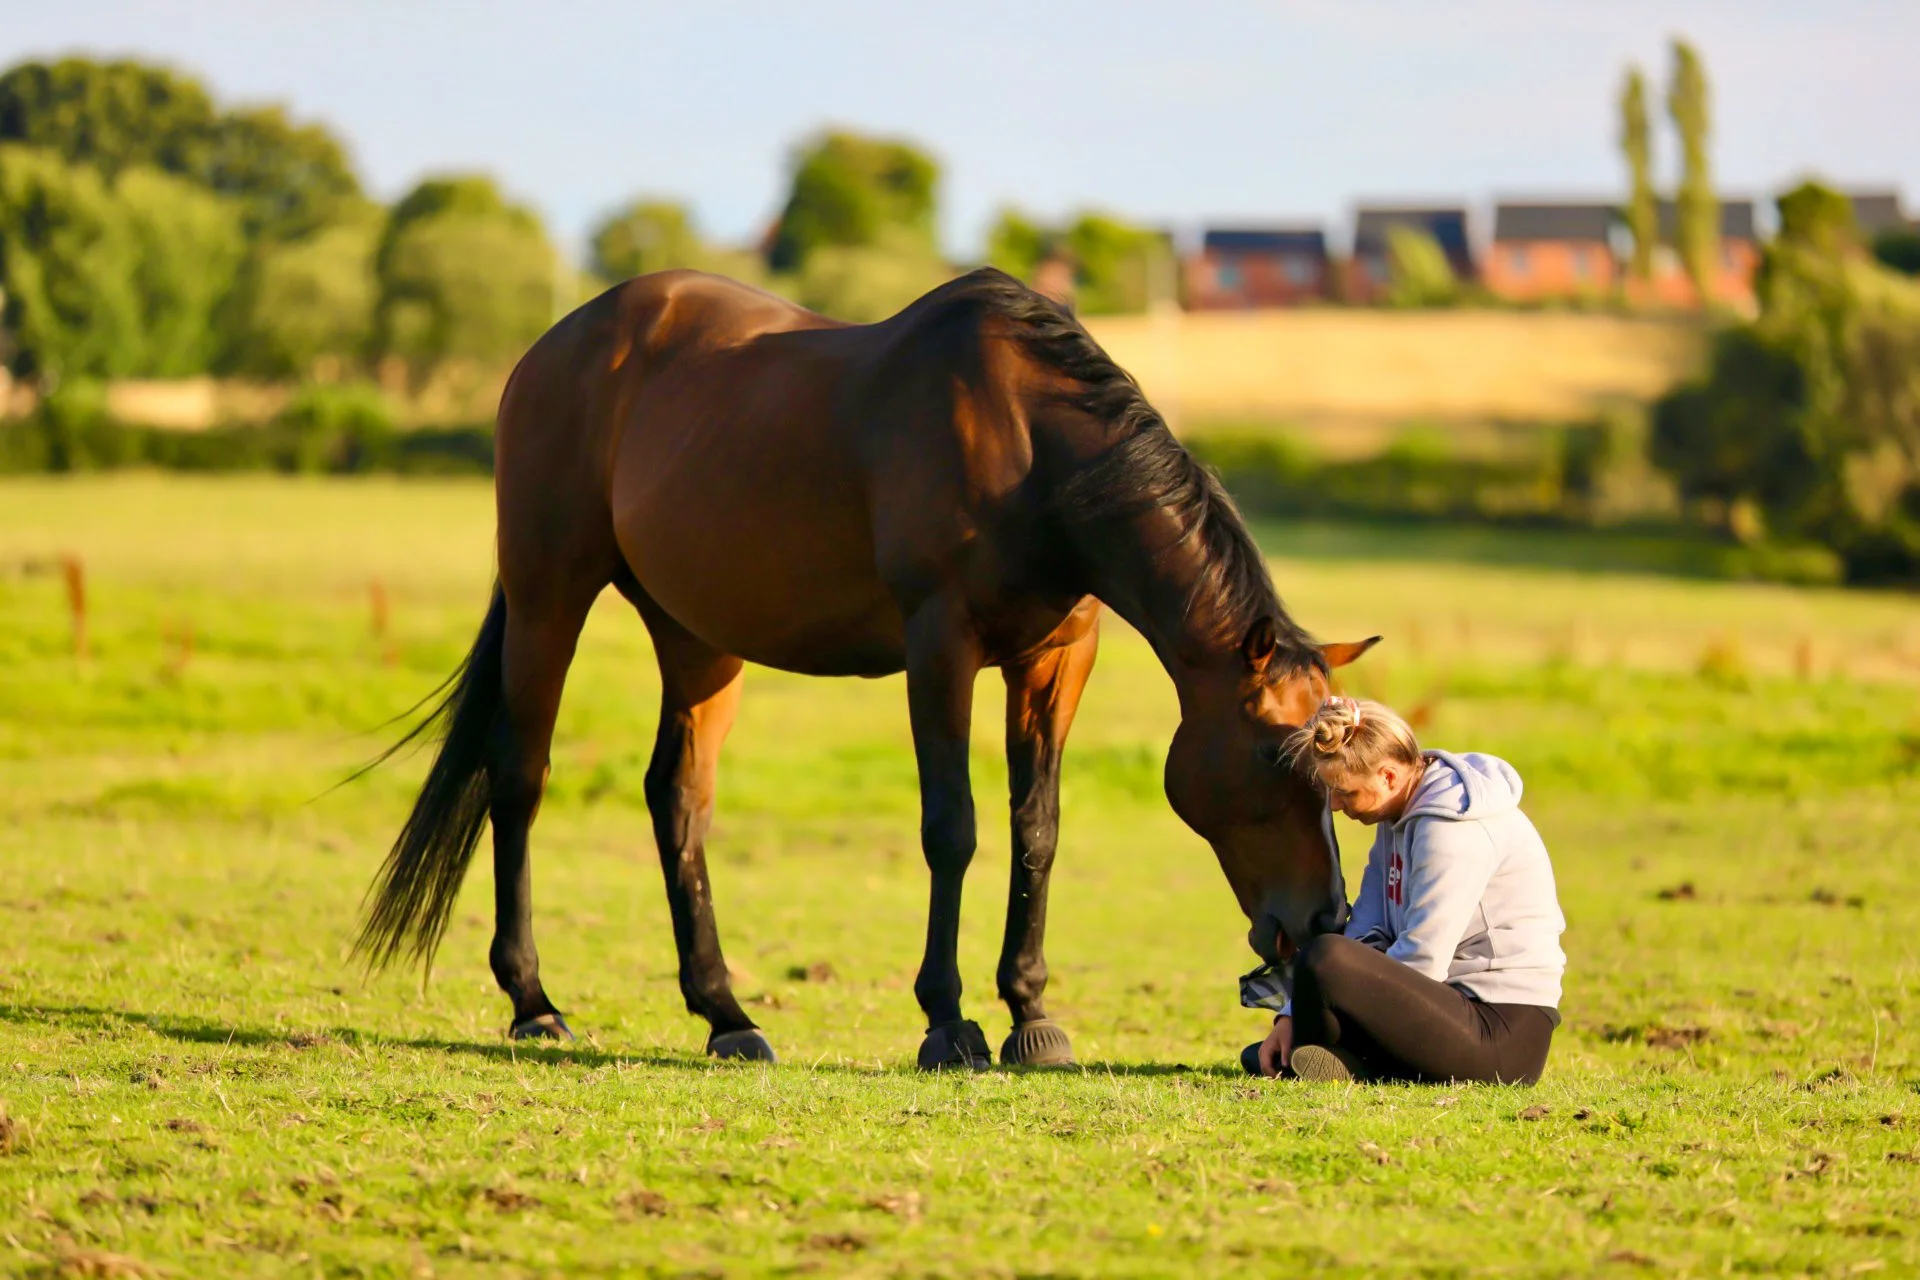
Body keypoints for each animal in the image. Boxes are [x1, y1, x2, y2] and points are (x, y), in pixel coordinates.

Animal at [357, 266, 1376, 1070]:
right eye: (1278, 760)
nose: (1328, 919)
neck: (1033, 450)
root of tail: (555, 346)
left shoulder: (1054, 662)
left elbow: (1036, 830)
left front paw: (1032, 1014)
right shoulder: (941, 645)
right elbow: (953, 829)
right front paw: (948, 1023)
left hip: (696, 637)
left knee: (676, 799)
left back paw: (726, 1016)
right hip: (548, 598)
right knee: (519, 778)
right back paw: (534, 1003)